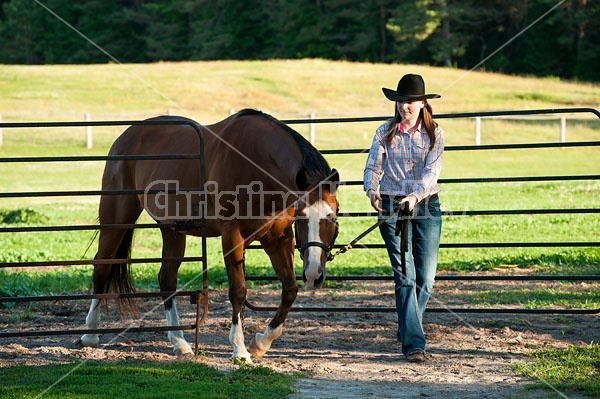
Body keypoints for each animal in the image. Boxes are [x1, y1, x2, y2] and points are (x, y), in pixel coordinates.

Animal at [76, 108, 338, 362]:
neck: (257, 164)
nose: (314, 275)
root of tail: (126, 137)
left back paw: (180, 342)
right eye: (302, 218)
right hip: (117, 218)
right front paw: (240, 350)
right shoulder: (232, 235)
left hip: (171, 230)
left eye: (333, 218)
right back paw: (90, 334)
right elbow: (238, 290)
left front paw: (260, 344)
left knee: (166, 279)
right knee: (102, 267)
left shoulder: (278, 238)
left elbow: (290, 289)